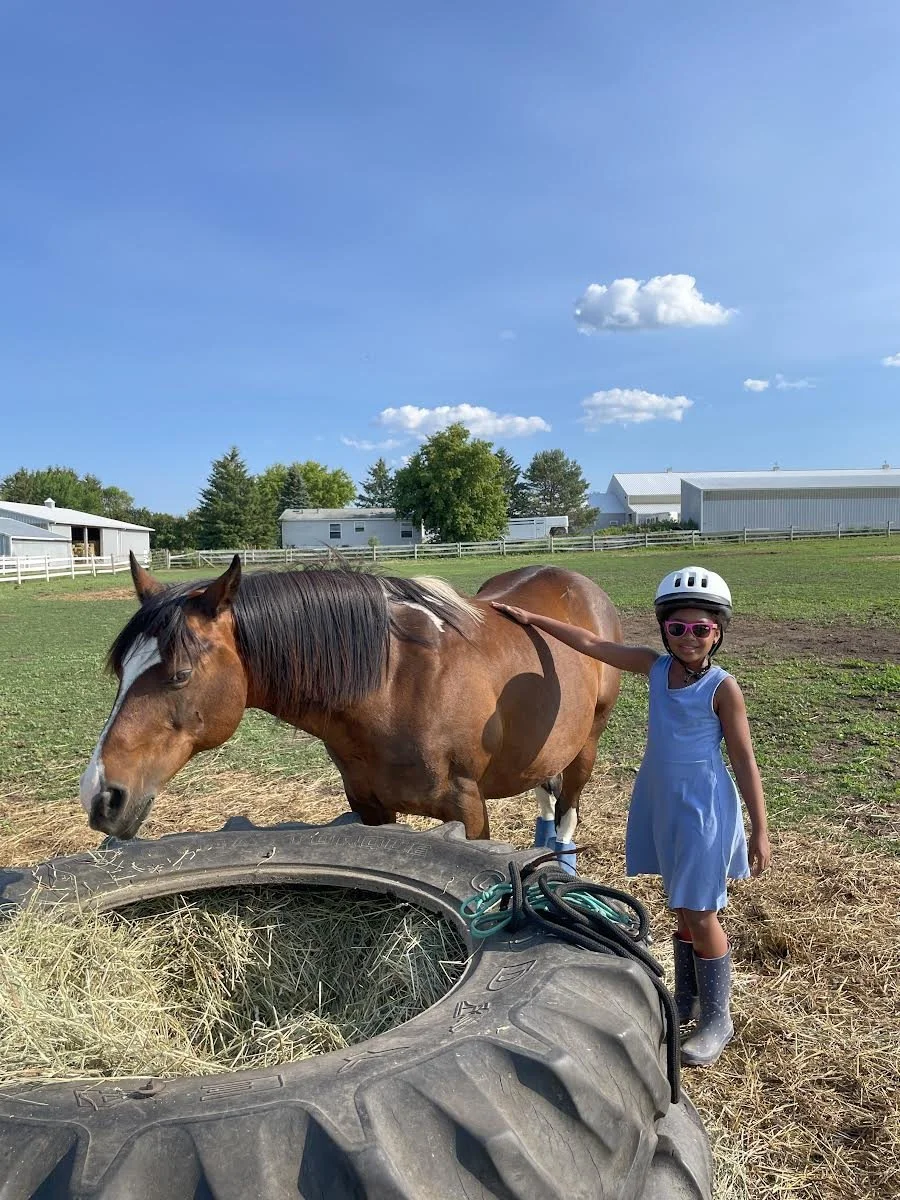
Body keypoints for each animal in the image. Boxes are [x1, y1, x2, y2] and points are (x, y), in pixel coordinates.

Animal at [80, 554, 622, 864]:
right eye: (120, 671)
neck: (396, 683)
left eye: (180, 674)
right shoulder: (369, 808)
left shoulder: (468, 808)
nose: (100, 796)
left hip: (587, 747)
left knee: (566, 816)